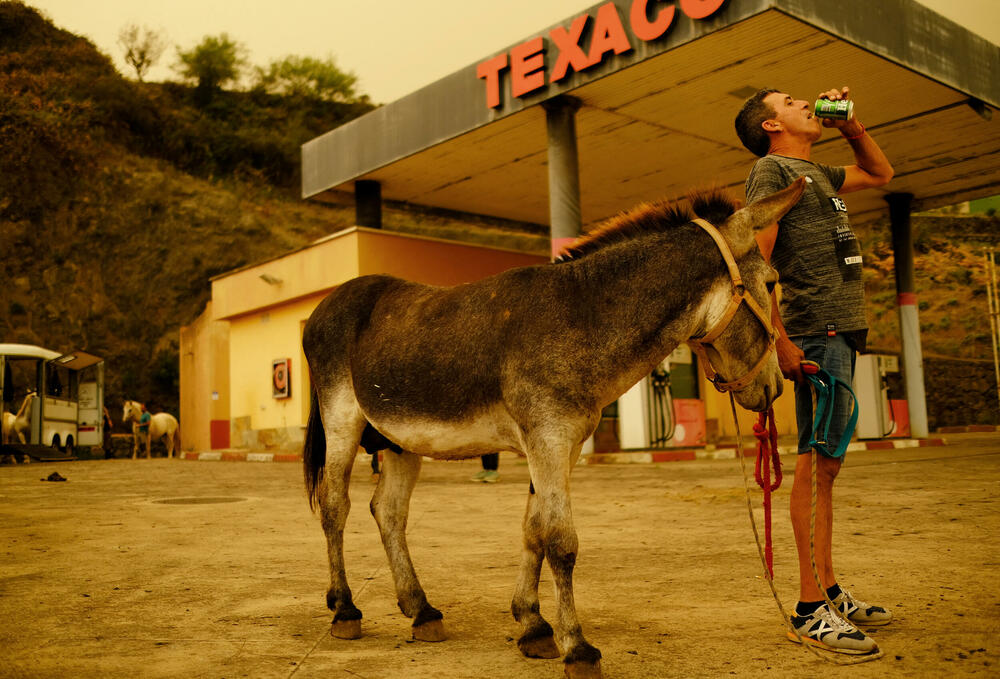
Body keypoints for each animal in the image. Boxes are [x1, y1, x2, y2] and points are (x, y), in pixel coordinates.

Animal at [300, 178, 808, 676]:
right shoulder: (547, 438)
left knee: (388, 511)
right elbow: (561, 541)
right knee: (334, 505)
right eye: (772, 283)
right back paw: (345, 610)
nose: (777, 386)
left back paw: (421, 610)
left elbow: (533, 530)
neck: (582, 318)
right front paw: (577, 647)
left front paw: (533, 625)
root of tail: (330, 300)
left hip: (399, 438)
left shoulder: (559, 445)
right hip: (342, 419)